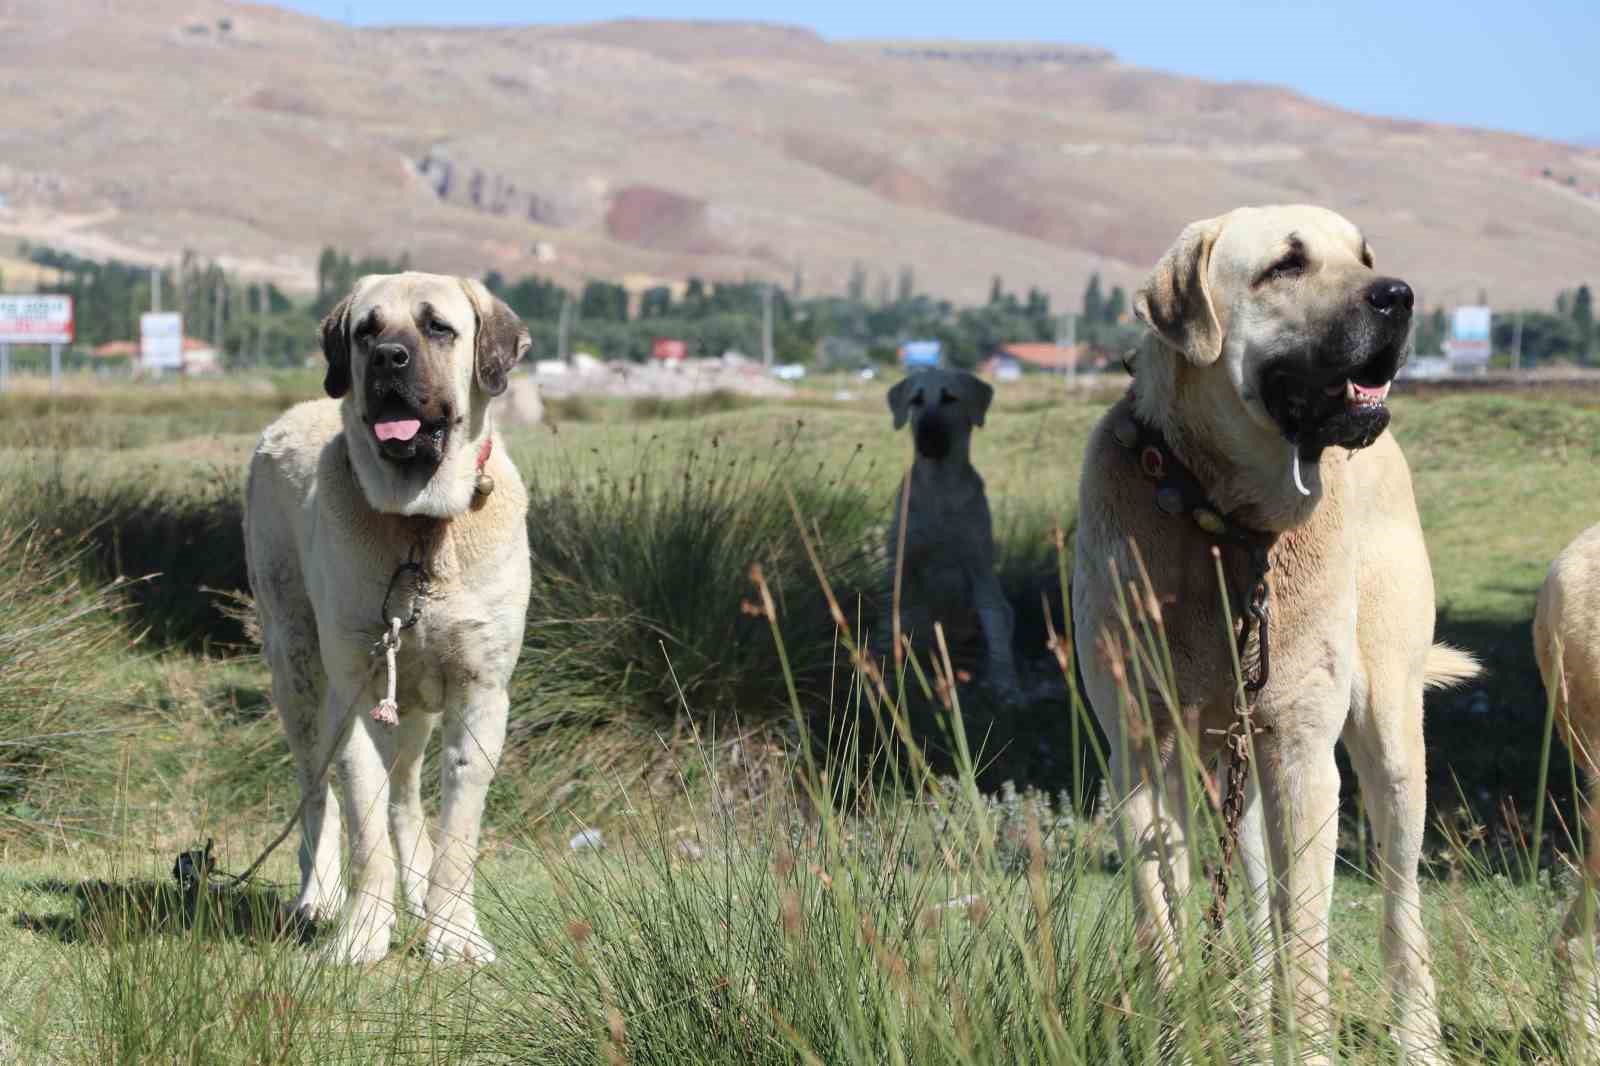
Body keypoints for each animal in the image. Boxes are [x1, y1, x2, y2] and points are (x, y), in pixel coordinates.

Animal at [243, 267, 531, 960]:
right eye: (366, 331)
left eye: (438, 328)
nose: (388, 359)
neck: (420, 525)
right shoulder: (358, 690)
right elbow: (363, 822)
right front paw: (363, 935)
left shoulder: (480, 692)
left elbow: (457, 832)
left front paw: (452, 934)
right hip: (298, 672)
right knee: (316, 794)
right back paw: (318, 897)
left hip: (413, 704)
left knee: (405, 797)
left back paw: (419, 895)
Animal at [883, 369, 1017, 694]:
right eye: (916, 400)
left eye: (950, 398)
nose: (926, 434)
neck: (939, 488)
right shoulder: (903, 565)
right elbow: (899, 619)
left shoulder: (980, 569)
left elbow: (994, 624)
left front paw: (1005, 682)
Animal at [1068, 203, 1478, 1056]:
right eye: (1285, 266)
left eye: (1364, 257)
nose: (1399, 295)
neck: (1223, 520)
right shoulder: (1141, 753)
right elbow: (1161, 921)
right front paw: (1176, 1038)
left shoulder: (1302, 752)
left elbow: (1310, 938)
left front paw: (1310, 1045)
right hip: (1239, 767)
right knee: (1258, 909)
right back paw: (1256, 1025)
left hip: (1390, 740)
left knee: (1397, 906)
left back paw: (1415, 1038)